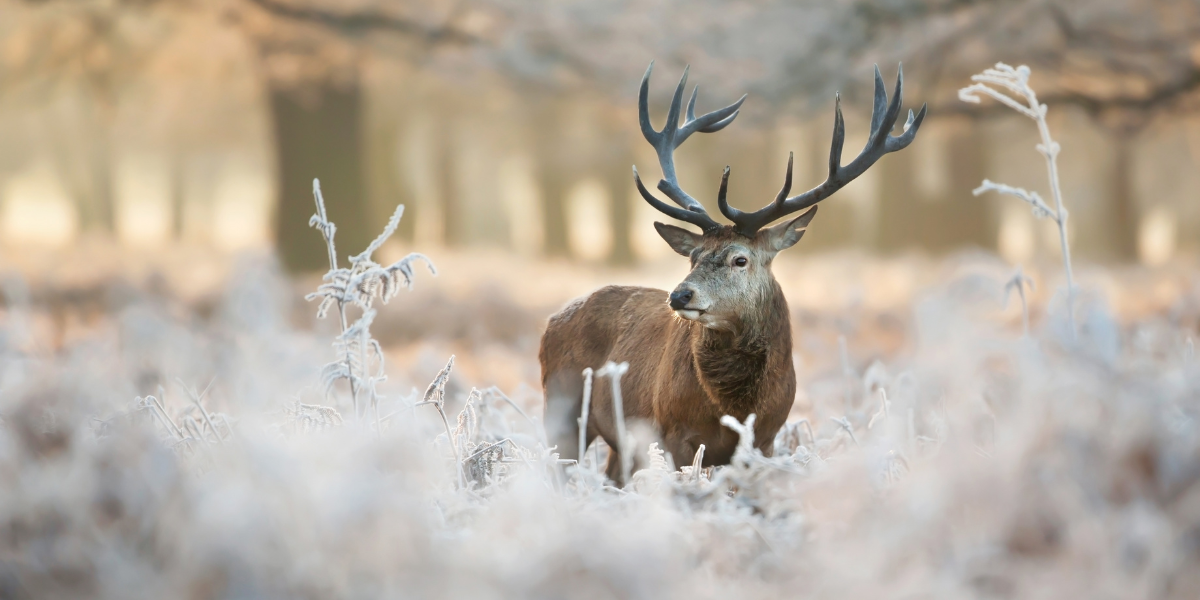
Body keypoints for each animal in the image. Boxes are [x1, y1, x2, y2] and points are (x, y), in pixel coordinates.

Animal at [540, 62, 926, 485]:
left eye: (740, 260)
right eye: (693, 257)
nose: (679, 295)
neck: (735, 407)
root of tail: (552, 320)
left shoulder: (766, 438)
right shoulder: (672, 433)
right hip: (560, 407)